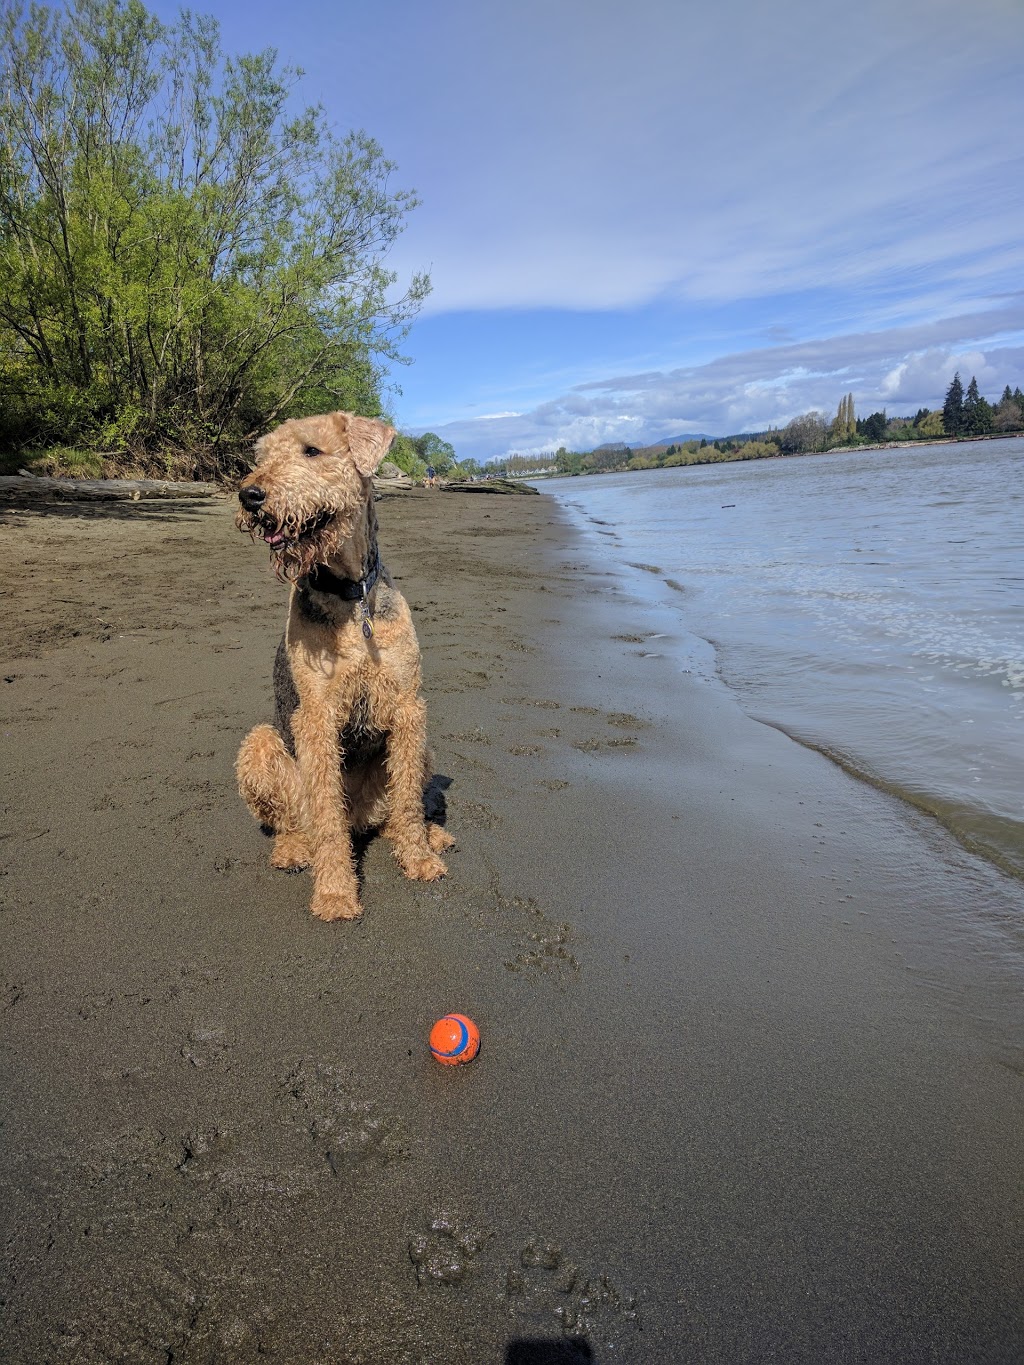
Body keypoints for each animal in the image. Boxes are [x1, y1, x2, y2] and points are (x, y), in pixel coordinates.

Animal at [238, 404, 456, 917]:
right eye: (261, 455)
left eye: (311, 450)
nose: (250, 495)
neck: (352, 597)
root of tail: (360, 814)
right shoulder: (317, 714)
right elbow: (326, 819)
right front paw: (336, 894)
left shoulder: (407, 705)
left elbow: (408, 803)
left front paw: (419, 861)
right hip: (261, 744)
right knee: (299, 821)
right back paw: (294, 850)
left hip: (420, 750)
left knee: (399, 809)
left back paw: (431, 836)